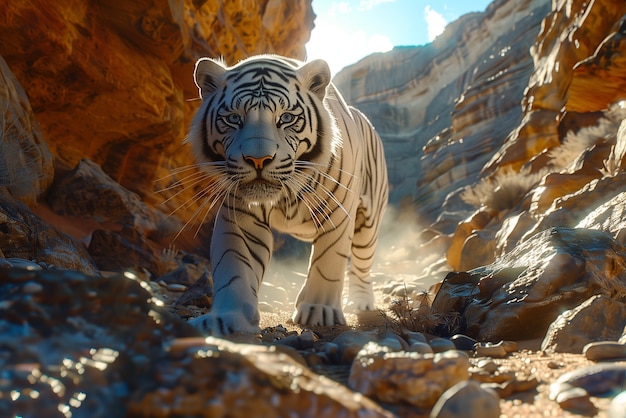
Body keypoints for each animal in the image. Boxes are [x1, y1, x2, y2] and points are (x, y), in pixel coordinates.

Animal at [183, 55, 386, 334]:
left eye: (286, 118)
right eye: (234, 118)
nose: (258, 159)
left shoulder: (338, 213)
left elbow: (328, 263)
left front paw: (319, 311)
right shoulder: (242, 215)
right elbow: (236, 266)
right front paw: (226, 319)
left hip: (368, 224)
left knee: (361, 265)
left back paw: (361, 302)